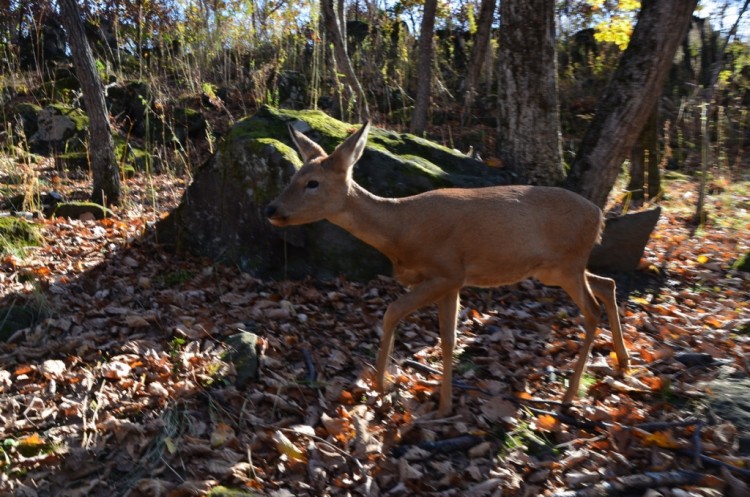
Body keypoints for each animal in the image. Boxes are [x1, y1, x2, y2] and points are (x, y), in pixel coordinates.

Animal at [268, 122, 632, 416]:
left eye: (312, 183)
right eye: (293, 177)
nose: (271, 208)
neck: (401, 230)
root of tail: (599, 216)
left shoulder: (447, 271)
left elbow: (393, 313)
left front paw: (384, 388)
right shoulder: (454, 281)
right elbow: (447, 338)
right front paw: (443, 403)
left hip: (568, 264)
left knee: (592, 309)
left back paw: (570, 395)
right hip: (557, 269)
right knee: (607, 283)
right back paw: (623, 364)